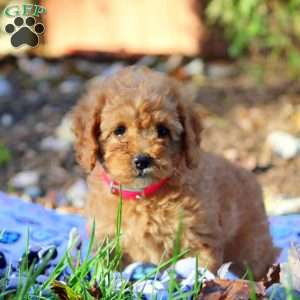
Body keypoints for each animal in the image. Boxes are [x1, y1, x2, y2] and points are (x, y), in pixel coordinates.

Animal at [72, 65, 278, 278]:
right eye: (119, 130)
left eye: (163, 130)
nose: (142, 160)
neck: (143, 196)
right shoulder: (108, 239)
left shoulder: (197, 237)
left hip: (251, 247)